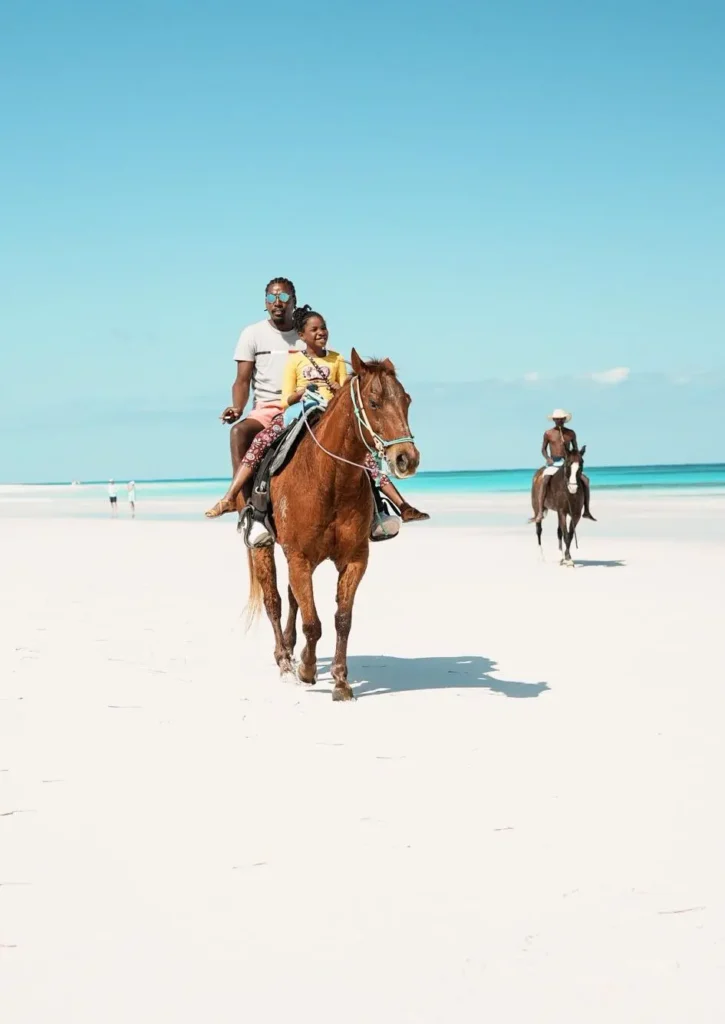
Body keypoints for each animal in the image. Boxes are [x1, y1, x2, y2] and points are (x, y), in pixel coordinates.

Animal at [247, 348, 421, 700]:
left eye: (407, 400)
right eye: (374, 402)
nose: (406, 459)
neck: (331, 479)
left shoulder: (353, 559)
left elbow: (342, 619)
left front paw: (340, 681)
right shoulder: (299, 558)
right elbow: (313, 622)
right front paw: (306, 669)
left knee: (292, 600)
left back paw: (292, 650)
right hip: (265, 549)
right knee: (274, 601)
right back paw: (284, 661)